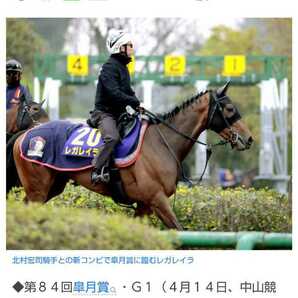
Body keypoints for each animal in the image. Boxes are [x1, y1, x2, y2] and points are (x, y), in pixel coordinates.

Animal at [12, 82, 254, 229]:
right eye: (230, 109)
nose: (249, 138)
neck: (162, 142)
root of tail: (26, 134)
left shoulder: (145, 205)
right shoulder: (157, 200)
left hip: (51, 187)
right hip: (38, 189)